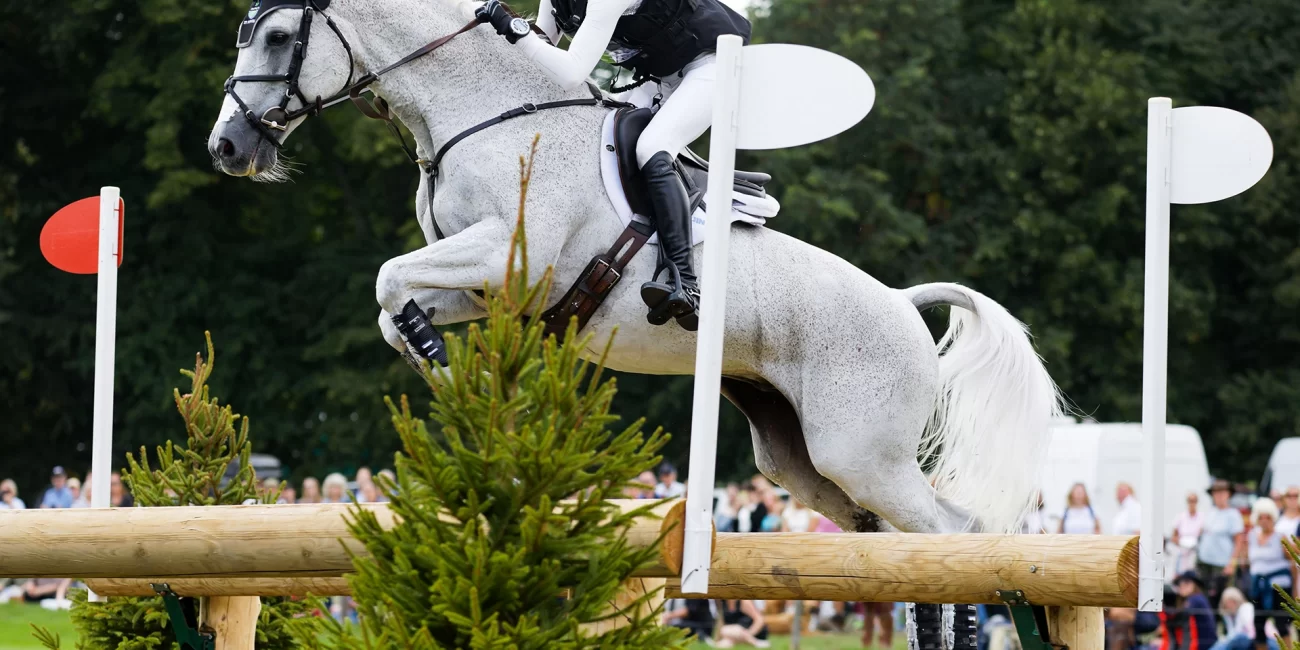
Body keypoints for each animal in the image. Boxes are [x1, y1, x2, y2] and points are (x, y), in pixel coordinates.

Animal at [208, 0, 1060, 535]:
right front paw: (458, 383)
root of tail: (903, 302)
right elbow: (395, 306)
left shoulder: (513, 252)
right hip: (804, 459)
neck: (480, 108)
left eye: (277, 36)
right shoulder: (487, 284)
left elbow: (388, 278)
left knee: (957, 532)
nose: (227, 147)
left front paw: (456, 383)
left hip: (863, 452)